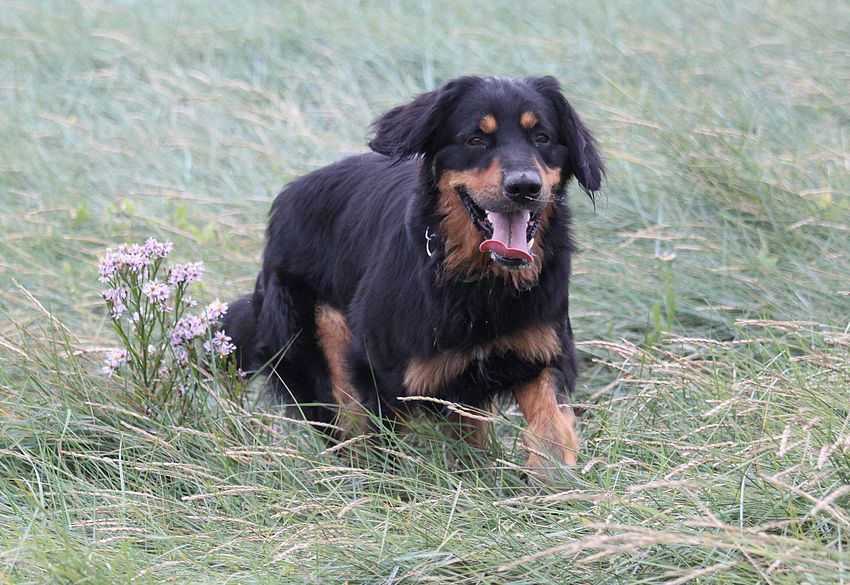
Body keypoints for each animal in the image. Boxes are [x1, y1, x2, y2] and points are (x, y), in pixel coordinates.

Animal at [224, 76, 603, 467]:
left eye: (542, 137)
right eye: (475, 139)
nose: (524, 186)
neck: (480, 282)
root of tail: (285, 200)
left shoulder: (540, 353)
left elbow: (551, 426)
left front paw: (554, 474)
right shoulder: (380, 375)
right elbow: (384, 449)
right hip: (319, 344)